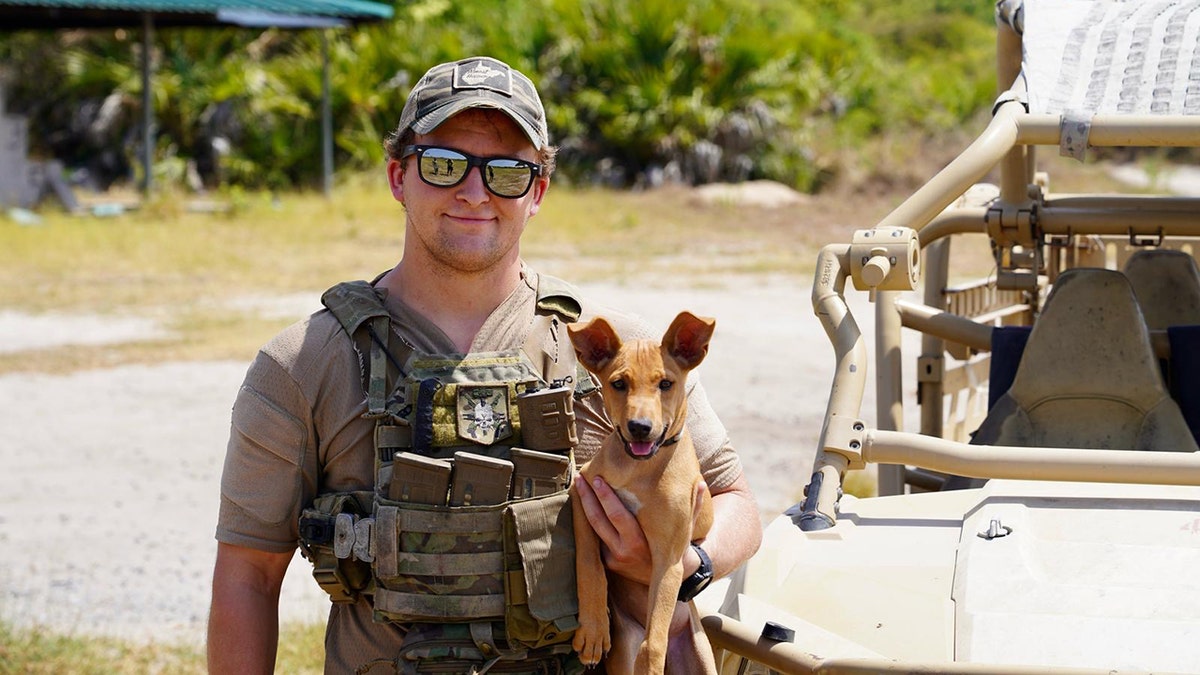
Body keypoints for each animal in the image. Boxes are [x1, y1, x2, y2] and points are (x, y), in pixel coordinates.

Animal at [566, 309, 715, 672]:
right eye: (619, 384)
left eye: (666, 384)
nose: (640, 428)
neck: (638, 468)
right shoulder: (582, 493)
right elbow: (589, 564)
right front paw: (593, 630)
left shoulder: (669, 560)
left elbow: (654, 641)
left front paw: (650, 664)